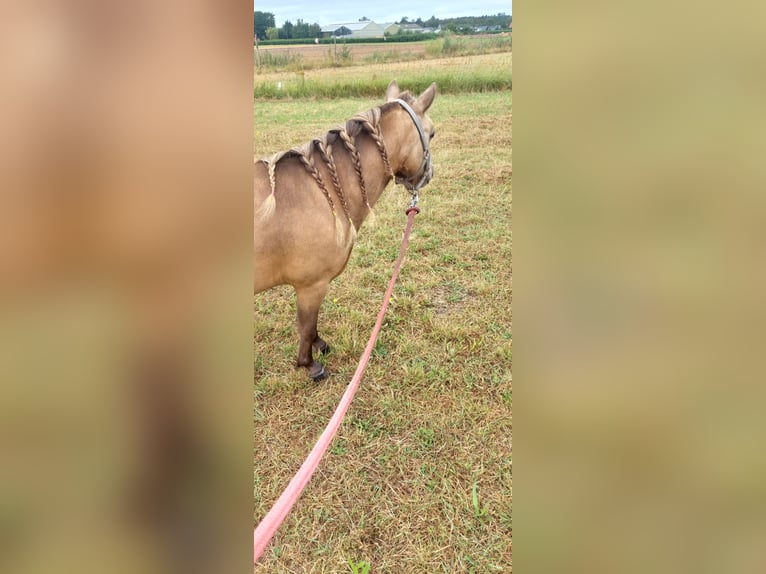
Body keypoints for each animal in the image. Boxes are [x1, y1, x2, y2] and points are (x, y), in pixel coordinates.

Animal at [255, 77, 438, 382]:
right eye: (432, 134)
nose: (429, 175)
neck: (324, 190)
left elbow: (311, 326)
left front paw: (320, 345)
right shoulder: (310, 286)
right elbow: (306, 325)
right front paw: (309, 364)